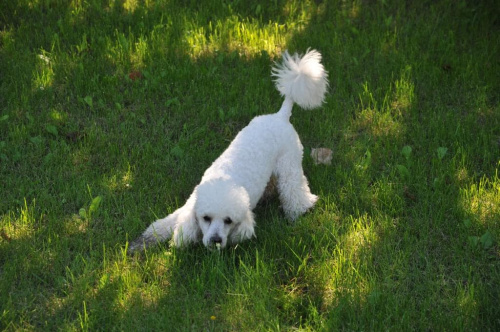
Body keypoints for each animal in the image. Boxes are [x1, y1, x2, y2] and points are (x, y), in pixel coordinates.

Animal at [128, 48, 328, 253]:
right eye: (206, 218)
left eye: (229, 221)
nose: (215, 240)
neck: (224, 178)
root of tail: (281, 115)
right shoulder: (188, 205)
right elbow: (167, 222)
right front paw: (146, 239)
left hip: (290, 165)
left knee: (294, 191)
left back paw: (298, 211)